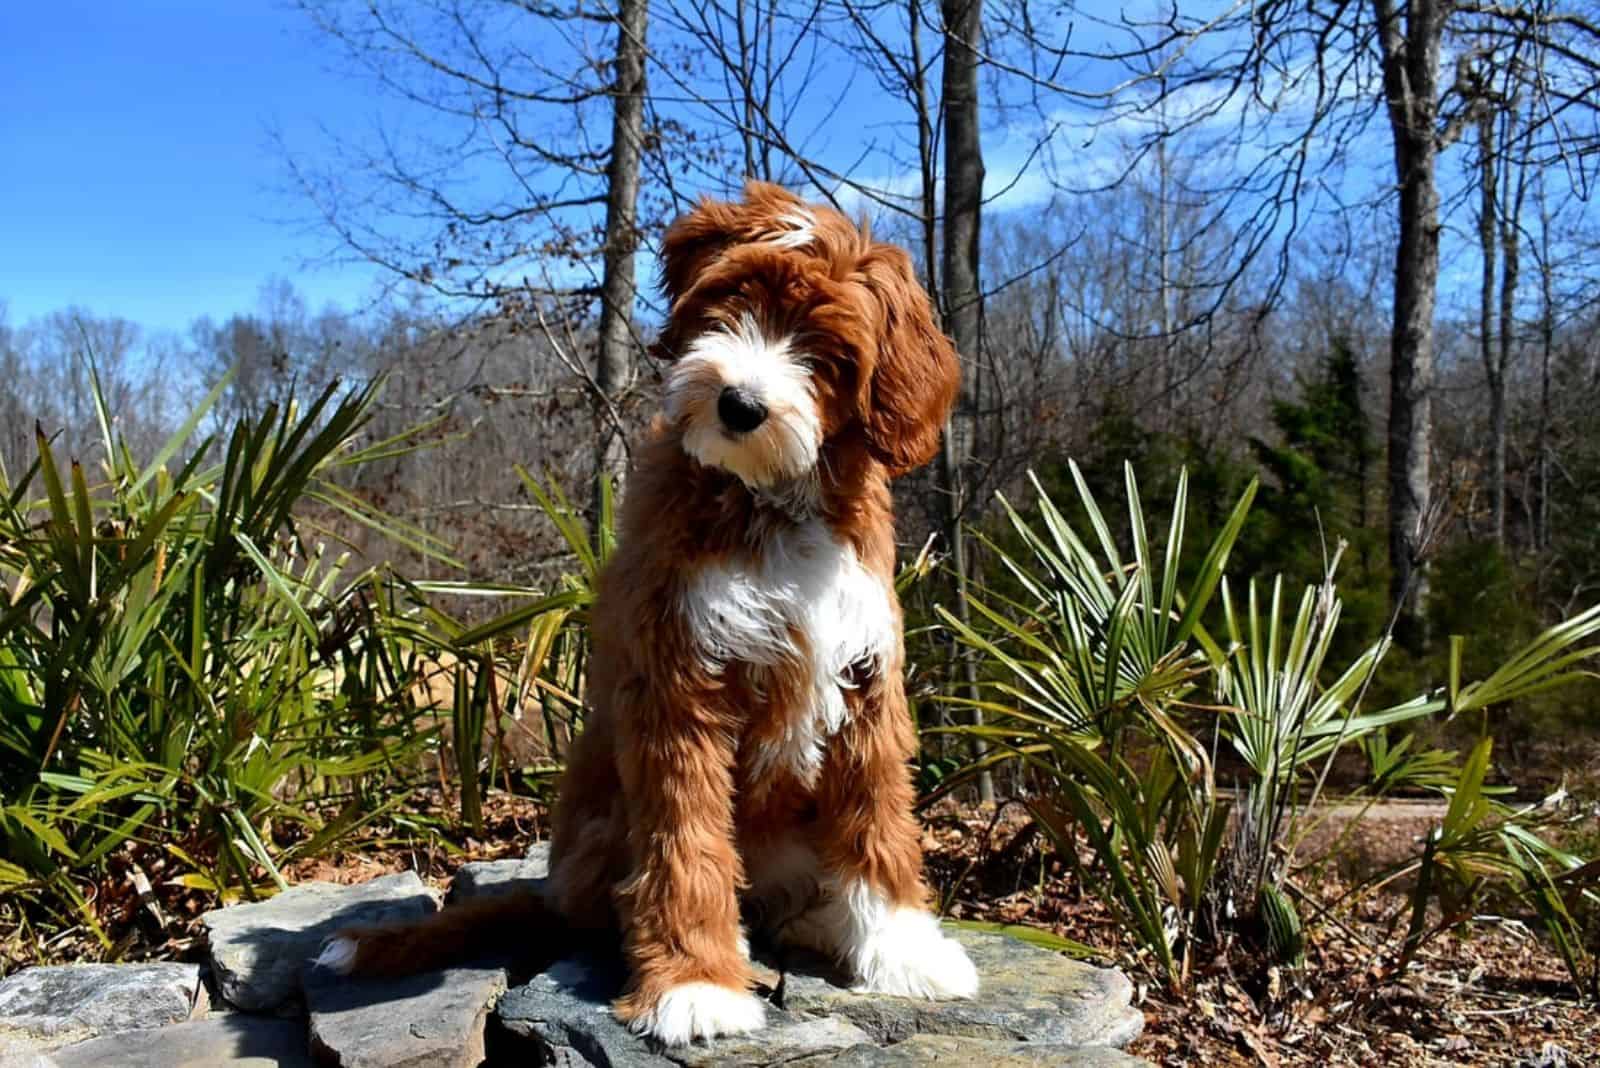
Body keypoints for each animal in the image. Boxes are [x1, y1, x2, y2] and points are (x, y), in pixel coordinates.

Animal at [320, 181, 972, 1042]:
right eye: (737, 298)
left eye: (828, 351)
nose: (739, 405)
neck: (771, 501)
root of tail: (554, 890)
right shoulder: (679, 676)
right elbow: (685, 839)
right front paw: (695, 984)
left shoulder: (867, 678)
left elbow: (878, 819)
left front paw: (903, 949)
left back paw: (821, 920)